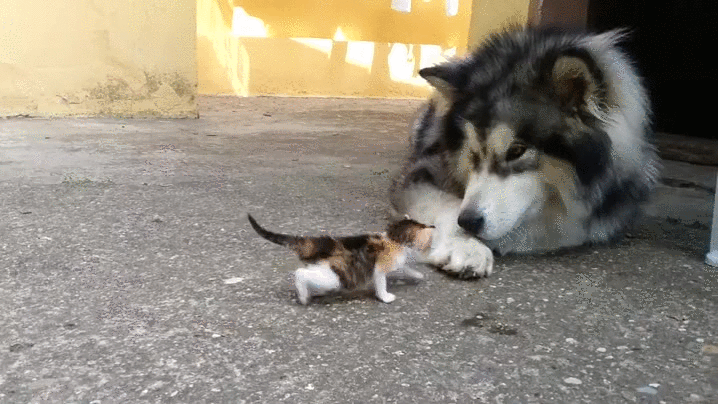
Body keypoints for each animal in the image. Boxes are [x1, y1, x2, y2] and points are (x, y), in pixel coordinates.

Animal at [247, 214, 434, 305]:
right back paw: (304, 296)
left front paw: (417, 275)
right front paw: (385, 297)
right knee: (300, 273)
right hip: (335, 276)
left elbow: (405, 267)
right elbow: (381, 282)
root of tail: (321, 243)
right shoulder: (380, 267)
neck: (394, 238)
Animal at [390, 28, 661, 278]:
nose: (468, 222)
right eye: (472, 152)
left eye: (517, 151)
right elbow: (449, 204)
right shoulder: (423, 170)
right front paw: (466, 247)